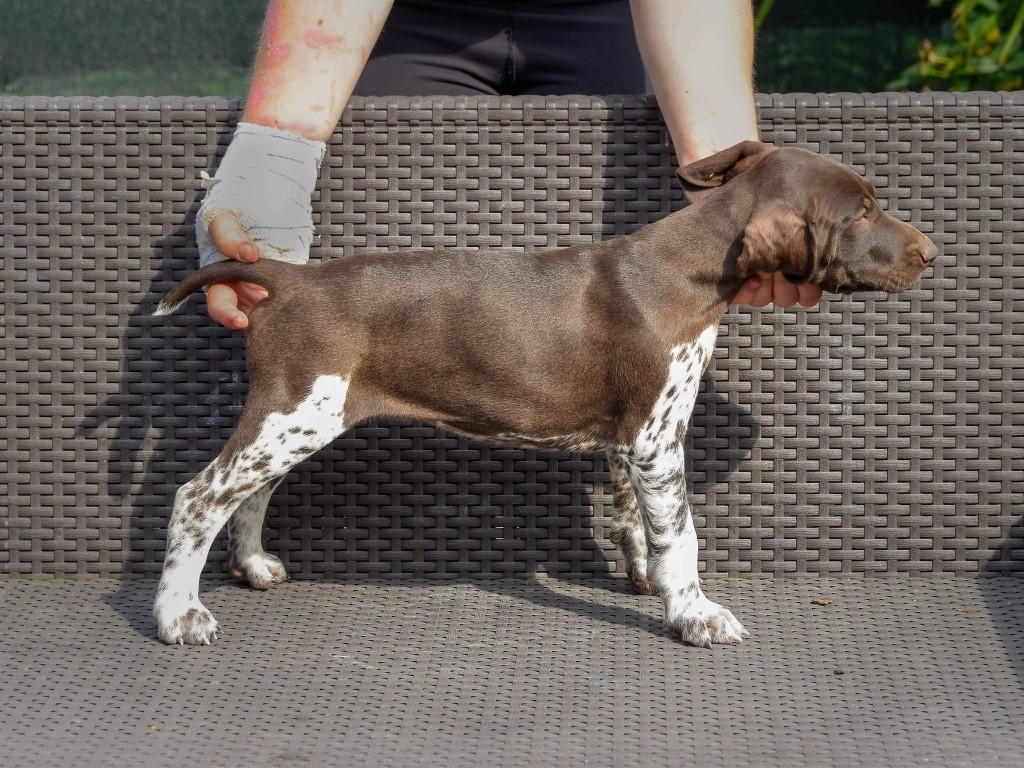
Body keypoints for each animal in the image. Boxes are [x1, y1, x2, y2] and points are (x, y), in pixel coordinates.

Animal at [151, 143, 937, 651]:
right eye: (862, 213)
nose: (931, 253)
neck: (689, 265)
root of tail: (289, 280)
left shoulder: (631, 444)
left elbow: (636, 522)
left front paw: (646, 582)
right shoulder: (658, 441)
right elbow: (682, 536)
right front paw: (695, 614)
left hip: (296, 417)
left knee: (249, 494)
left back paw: (253, 566)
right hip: (295, 414)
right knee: (198, 496)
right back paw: (178, 614)